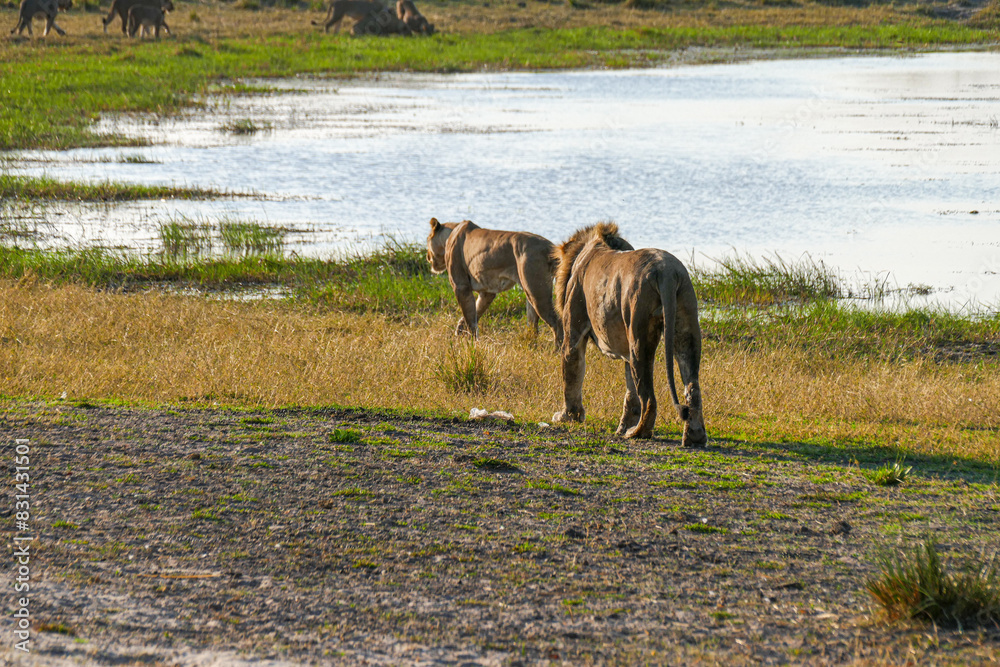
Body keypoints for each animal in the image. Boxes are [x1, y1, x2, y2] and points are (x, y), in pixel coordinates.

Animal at [424, 219, 564, 348]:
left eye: (427, 239)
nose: (427, 257)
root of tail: (550, 247)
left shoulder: (461, 286)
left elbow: (470, 317)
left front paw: (471, 343)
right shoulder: (487, 292)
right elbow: (476, 311)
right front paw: (460, 329)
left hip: (536, 291)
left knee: (557, 322)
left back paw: (558, 350)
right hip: (531, 291)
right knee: (533, 324)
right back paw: (530, 344)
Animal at [552, 224, 708, 448]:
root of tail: (666, 271)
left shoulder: (574, 329)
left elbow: (571, 373)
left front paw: (567, 417)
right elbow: (630, 392)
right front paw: (623, 425)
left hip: (639, 330)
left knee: (649, 397)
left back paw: (637, 433)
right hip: (685, 322)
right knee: (692, 386)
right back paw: (694, 437)